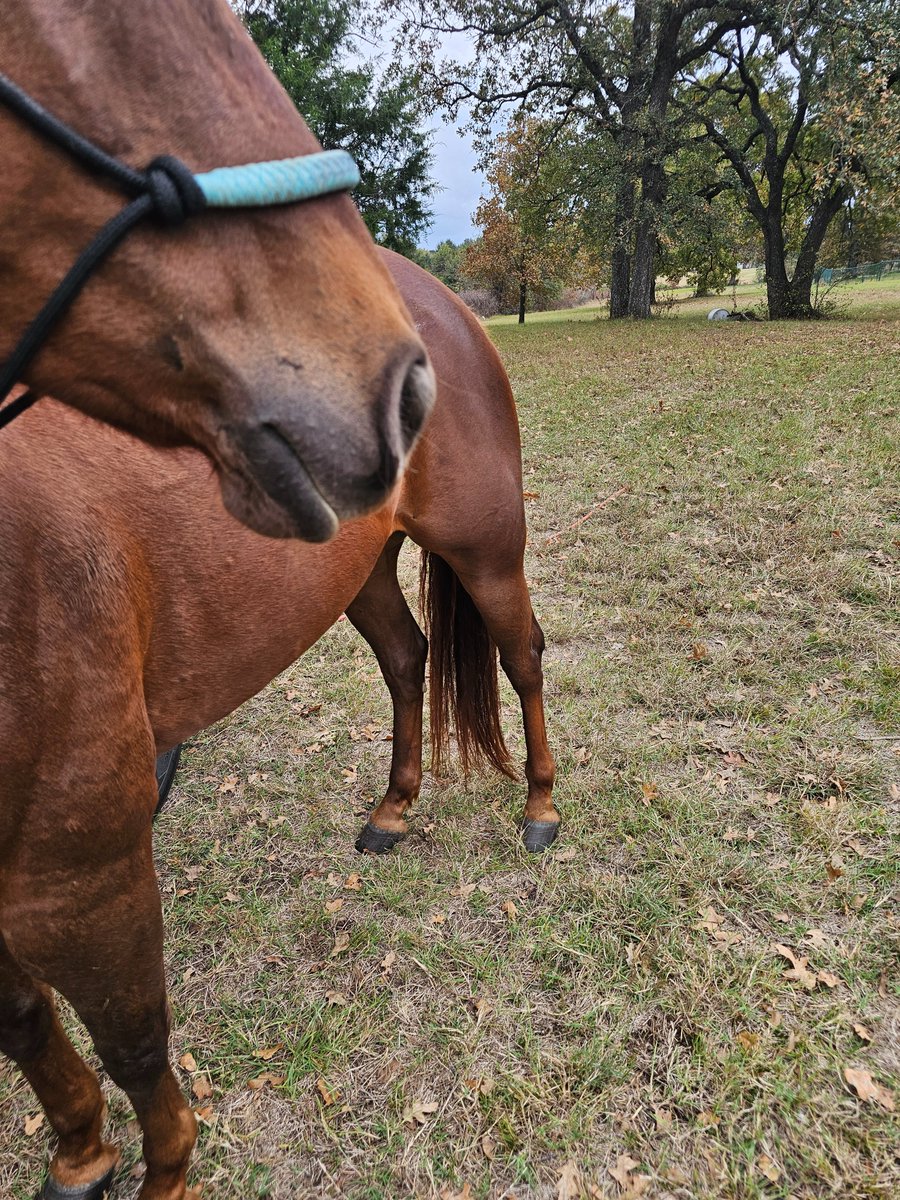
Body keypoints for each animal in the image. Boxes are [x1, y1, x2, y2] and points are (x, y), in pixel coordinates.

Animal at [0, 252, 557, 1199]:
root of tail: (433, 296)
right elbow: (27, 1022)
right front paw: (80, 1155)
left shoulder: (83, 866)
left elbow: (132, 1042)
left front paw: (163, 1173)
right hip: (362, 566)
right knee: (406, 659)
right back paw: (394, 810)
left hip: (487, 547)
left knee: (523, 659)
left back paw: (543, 807)